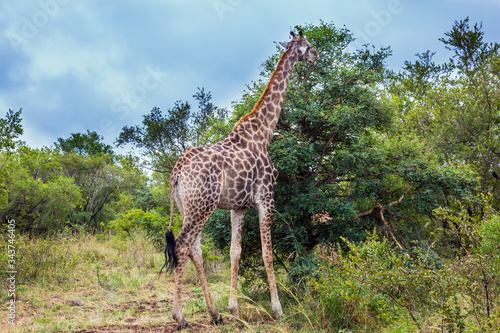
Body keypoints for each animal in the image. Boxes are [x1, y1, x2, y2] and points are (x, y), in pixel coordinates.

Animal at [164, 31, 318, 326]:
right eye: (308, 46)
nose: (316, 56)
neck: (264, 133)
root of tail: (177, 172)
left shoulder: (238, 206)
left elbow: (235, 251)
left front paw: (233, 309)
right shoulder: (266, 198)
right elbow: (268, 252)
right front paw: (277, 309)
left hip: (187, 206)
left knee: (195, 249)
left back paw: (214, 314)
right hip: (203, 205)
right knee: (182, 245)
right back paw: (180, 316)